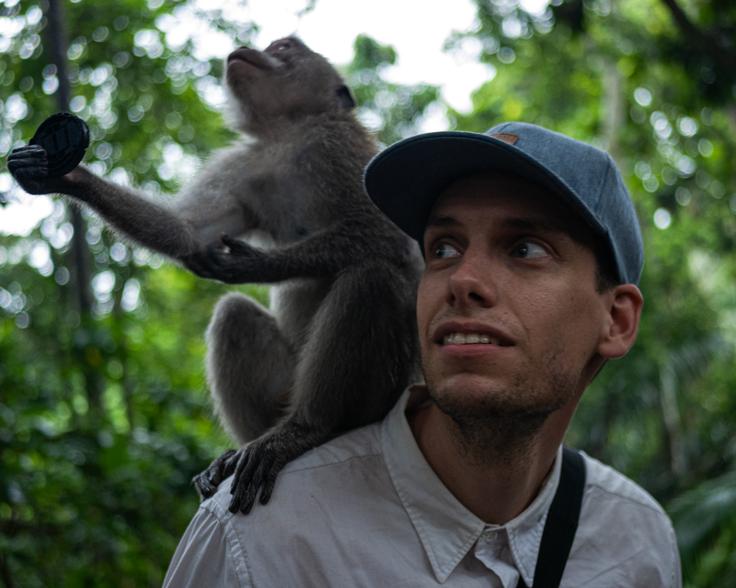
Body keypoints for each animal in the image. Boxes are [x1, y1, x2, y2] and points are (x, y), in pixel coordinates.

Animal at [5, 38, 422, 516]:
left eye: (285, 48)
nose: (247, 49)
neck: (287, 135)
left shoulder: (337, 144)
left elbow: (387, 235)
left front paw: (259, 265)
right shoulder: (245, 163)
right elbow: (188, 231)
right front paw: (67, 175)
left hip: (388, 384)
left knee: (372, 277)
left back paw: (307, 428)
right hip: (286, 383)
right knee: (235, 315)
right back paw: (245, 449)